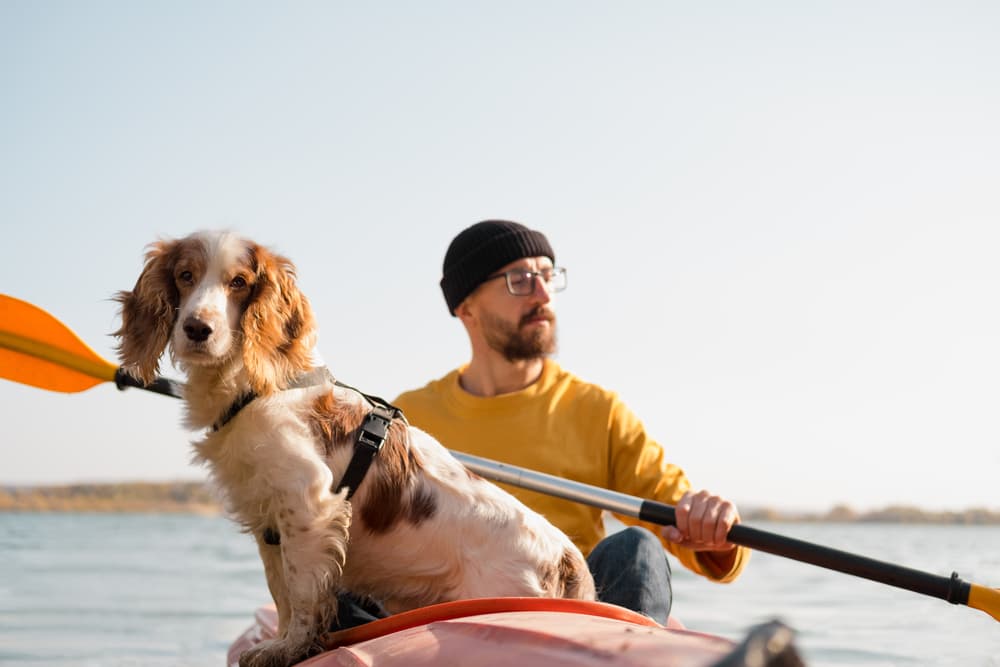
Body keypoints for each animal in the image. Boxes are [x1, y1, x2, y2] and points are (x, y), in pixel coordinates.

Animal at [111, 232, 592, 667]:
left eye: (239, 282)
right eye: (185, 276)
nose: (197, 328)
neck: (258, 384)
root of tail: (565, 556)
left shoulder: (308, 501)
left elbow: (301, 590)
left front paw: (288, 647)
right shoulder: (269, 520)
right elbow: (281, 592)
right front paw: (281, 641)